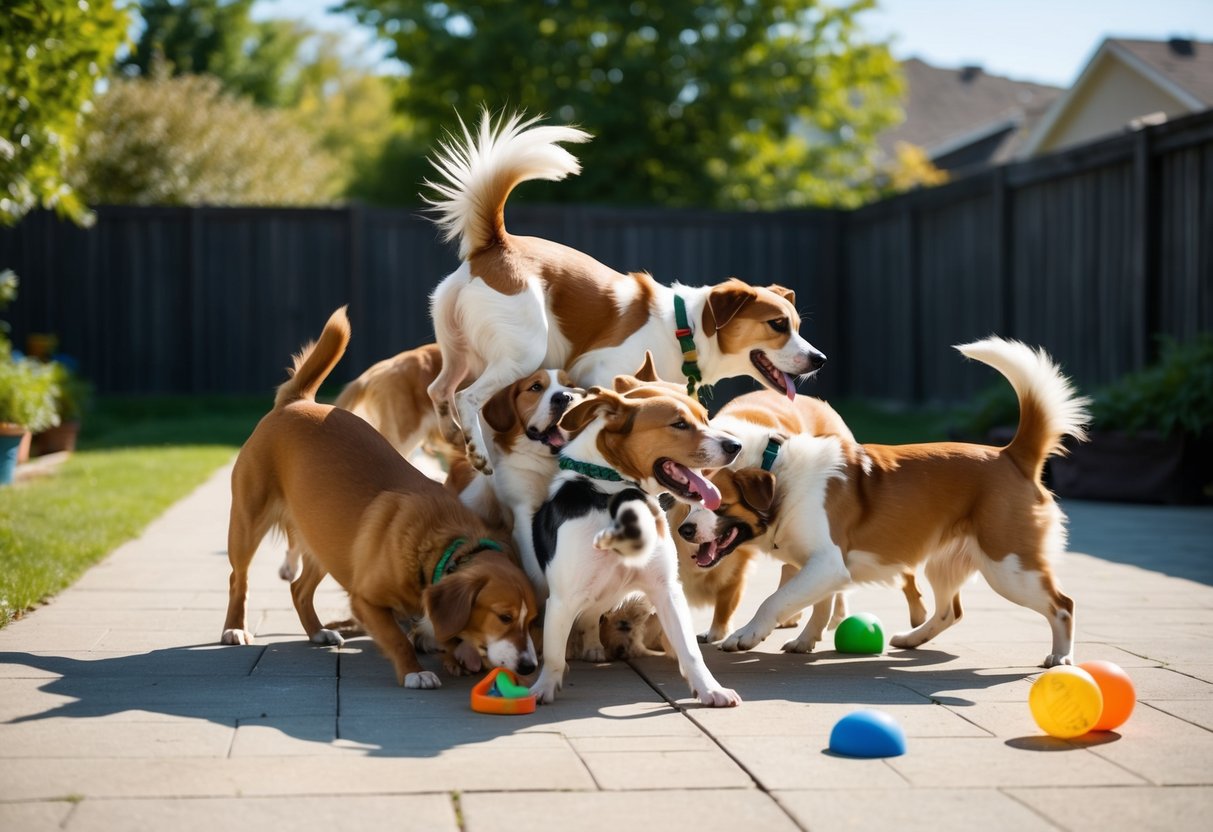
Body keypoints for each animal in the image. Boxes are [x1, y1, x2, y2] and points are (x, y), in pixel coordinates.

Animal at [219, 306, 540, 688]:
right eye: (504, 617)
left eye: (533, 620)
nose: (529, 667)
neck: (444, 545)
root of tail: (296, 401)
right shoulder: (365, 600)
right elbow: (396, 637)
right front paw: (415, 671)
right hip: (248, 523)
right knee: (238, 579)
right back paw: (234, 629)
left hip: (327, 541)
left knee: (299, 589)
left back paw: (317, 631)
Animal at [424, 111, 824, 475]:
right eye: (777, 325)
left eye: (798, 326)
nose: (819, 359)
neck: (684, 328)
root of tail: (497, 245)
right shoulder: (601, 372)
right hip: (523, 353)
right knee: (466, 397)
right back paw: (477, 451)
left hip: (459, 352)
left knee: (439, 390)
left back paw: (452, 433)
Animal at [684, 334, 1091, 669]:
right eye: (690, 498)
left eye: (719, 505)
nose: (685, 530)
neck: (777, 467)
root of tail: (1011, 455)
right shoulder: (821, 568)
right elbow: (819, 605)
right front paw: (806, 640)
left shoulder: (826, 563)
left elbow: (776, 599)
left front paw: (747, 634)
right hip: (946, 564)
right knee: (950, 612)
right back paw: (911, 639)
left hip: (1009, 567)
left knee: (1063, 605)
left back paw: (1061, 656)